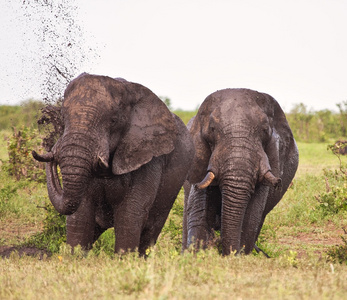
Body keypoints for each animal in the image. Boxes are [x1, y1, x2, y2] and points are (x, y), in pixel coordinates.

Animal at [32, 73, 196, 255]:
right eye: (62, 117)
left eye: (113, 120)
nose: (49, 147)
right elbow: (81, 213)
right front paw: (75, 257)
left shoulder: (148, 157)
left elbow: (130, 213)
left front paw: (125, 259)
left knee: (150, 230)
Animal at [182, 88, 300, 255]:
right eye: (212, 129)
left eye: (265, 130)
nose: (228, 252)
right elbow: (198, 211)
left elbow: (251, 217)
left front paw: (238, 255)